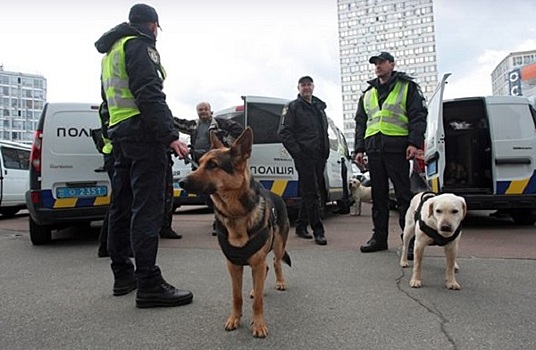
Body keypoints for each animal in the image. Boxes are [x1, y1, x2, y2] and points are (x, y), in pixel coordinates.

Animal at [178, 127, 292, 338]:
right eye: (200, 164)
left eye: (213, 165)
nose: (181, 182)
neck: (236, 215)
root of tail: (274, 194)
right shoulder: (233, 265)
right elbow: (236, 297)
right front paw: (235, 319)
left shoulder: (256, 261)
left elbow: (258, 303)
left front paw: (258, 324)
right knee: (265, 270)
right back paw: (256, 289)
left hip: (279, 245)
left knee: (276, 262)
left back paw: (280, 282)